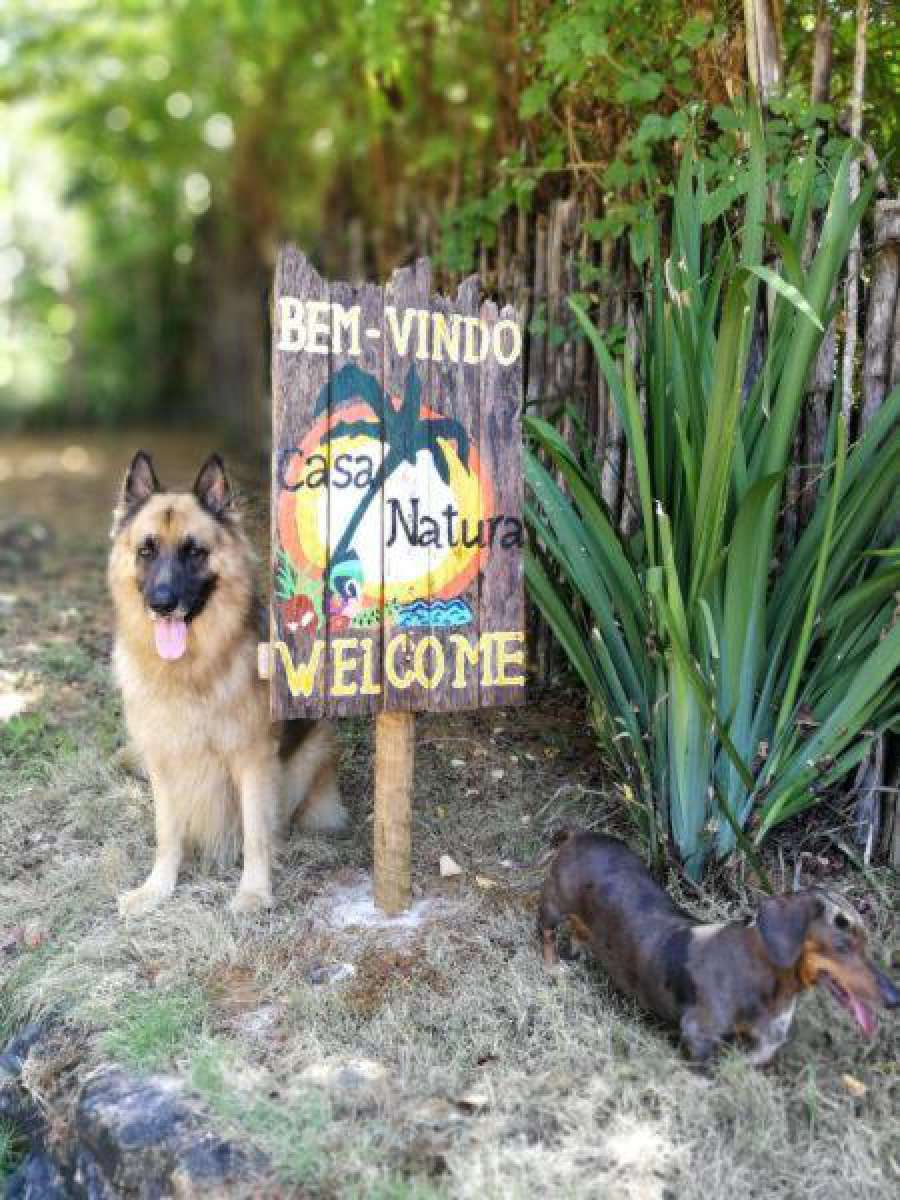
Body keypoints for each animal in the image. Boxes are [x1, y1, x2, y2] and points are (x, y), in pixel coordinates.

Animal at [109, 453, 340, 912]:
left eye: (194, 552)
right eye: (146, 550)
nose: (162, 604)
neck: (188, 671)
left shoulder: (252, 761)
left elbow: (255, 834)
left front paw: (253, 892)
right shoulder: (163, 761)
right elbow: (167, 834)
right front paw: (157, 889)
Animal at [540, 830, 897, 1065]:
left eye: (867, 944)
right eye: (842, 945)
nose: (895, 998)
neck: (765, 976)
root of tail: (580, 835)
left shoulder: (767, 1042)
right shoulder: (698, 1034)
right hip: (554, 906)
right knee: (543, 930)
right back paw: (552, 965)